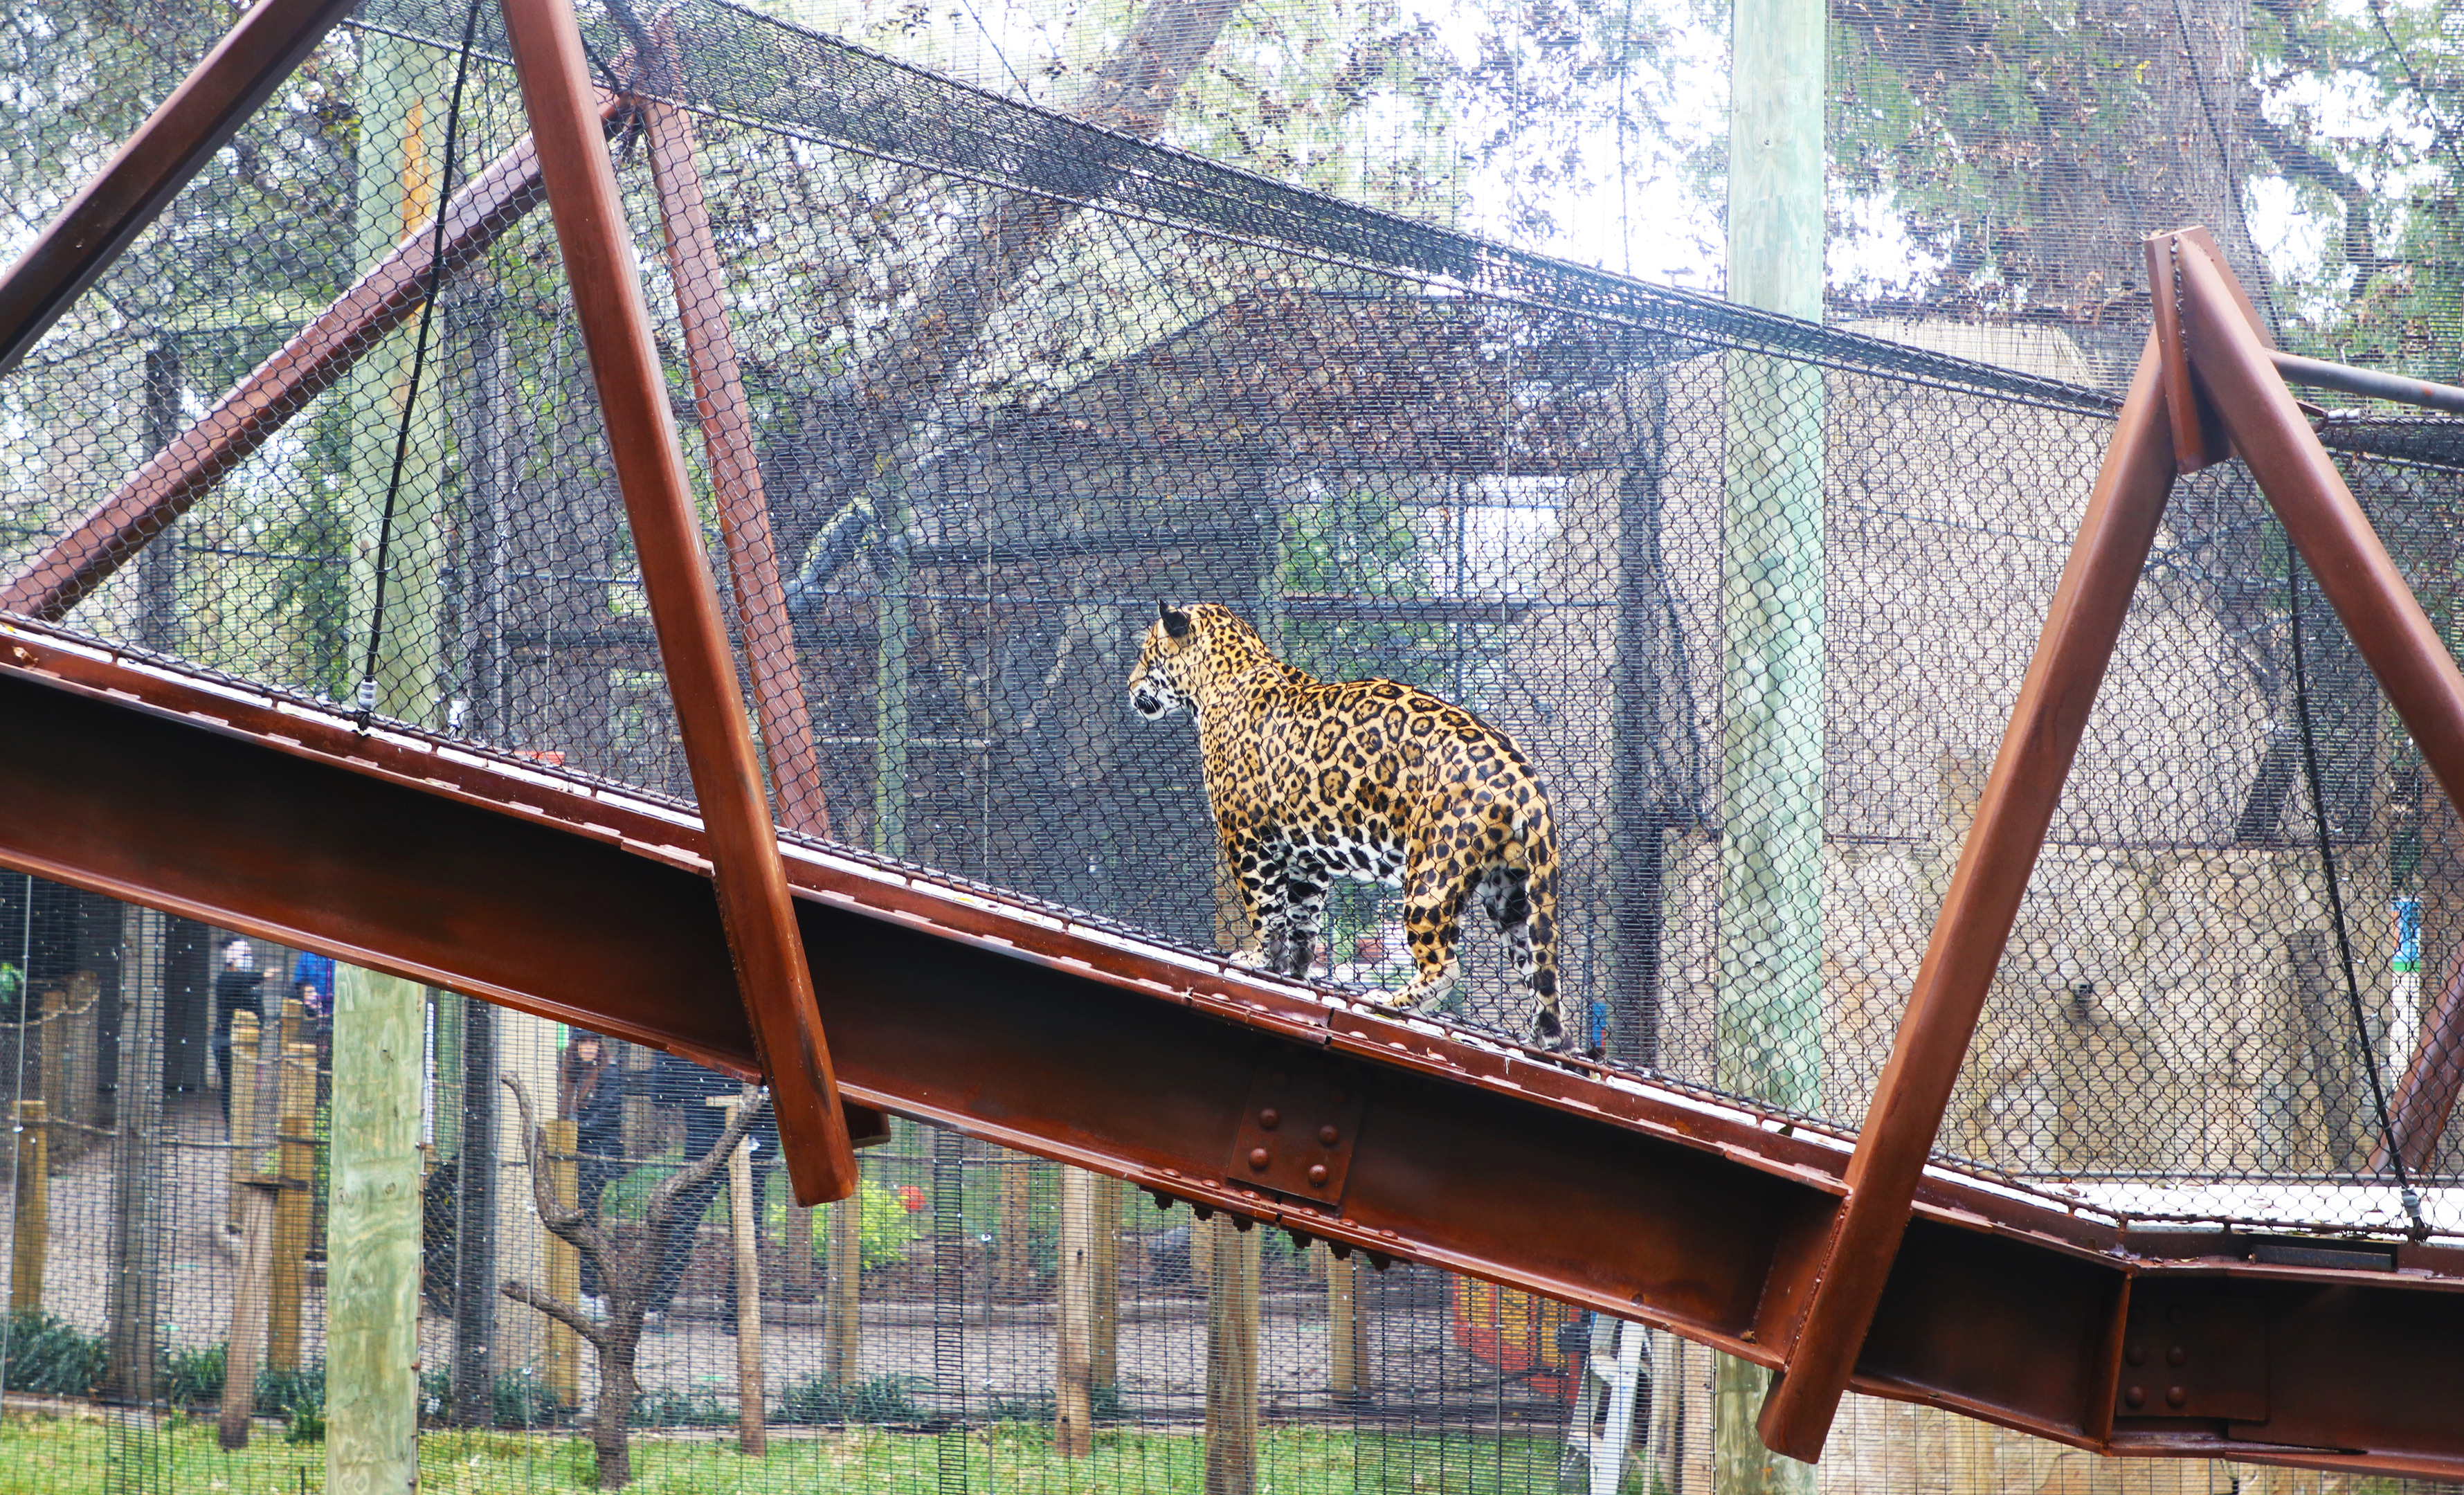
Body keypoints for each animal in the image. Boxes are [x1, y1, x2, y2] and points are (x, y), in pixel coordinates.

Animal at [1128, 598, 1567, 1054]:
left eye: (1146, 654)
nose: (1129, 685)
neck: (1222, 675)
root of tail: (1525, 781)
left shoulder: (1246, 836)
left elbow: (1264, 909)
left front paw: (1260, 959)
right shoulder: (1305, 857)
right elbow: (1302, 918)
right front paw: (1295, 971)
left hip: (1431, 873)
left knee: (1446, 965)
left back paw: (1388, 1002)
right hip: (1512, 891)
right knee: (1540, 971)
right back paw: (1542, 1041)